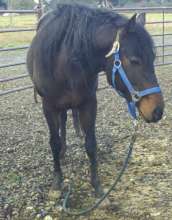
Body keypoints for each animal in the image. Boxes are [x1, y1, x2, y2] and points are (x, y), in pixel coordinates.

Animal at [26, 3, 164, 196]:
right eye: (134, 60)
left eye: (153, 58)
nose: (158, 110)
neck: (65, 60)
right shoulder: (49, 106)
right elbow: (54, 142)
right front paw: (57, 181)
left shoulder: (89, 103)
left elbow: (91, 144)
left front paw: (96, 185)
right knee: (63, 122)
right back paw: (63, 151)